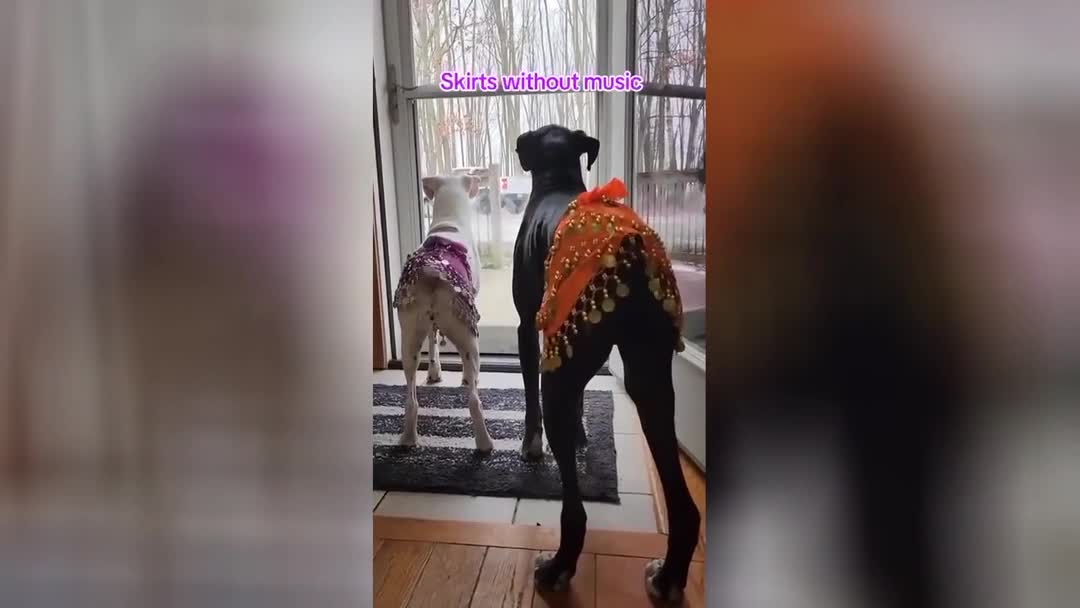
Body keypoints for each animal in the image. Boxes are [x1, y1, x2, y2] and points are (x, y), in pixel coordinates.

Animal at [393, 174, 494, 453]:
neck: (449, 220)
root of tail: (432, 273)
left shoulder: (427, 325)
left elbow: (433, 341)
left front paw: (434, 372)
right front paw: (464, 378)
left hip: (409, 336)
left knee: (411, 397)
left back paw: (408, 439)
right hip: (469, 336)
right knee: (473, 399)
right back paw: (484, 443)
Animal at [512, 125, 700, 602]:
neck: (558, 179)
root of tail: (631, 250)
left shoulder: (528, 328)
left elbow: (530, 401)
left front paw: (532, 444)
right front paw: (581, 433)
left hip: (559, 376)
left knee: (574, 511)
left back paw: (558, 567)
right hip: (652, 381)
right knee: (684, 506)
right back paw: (668, 576)